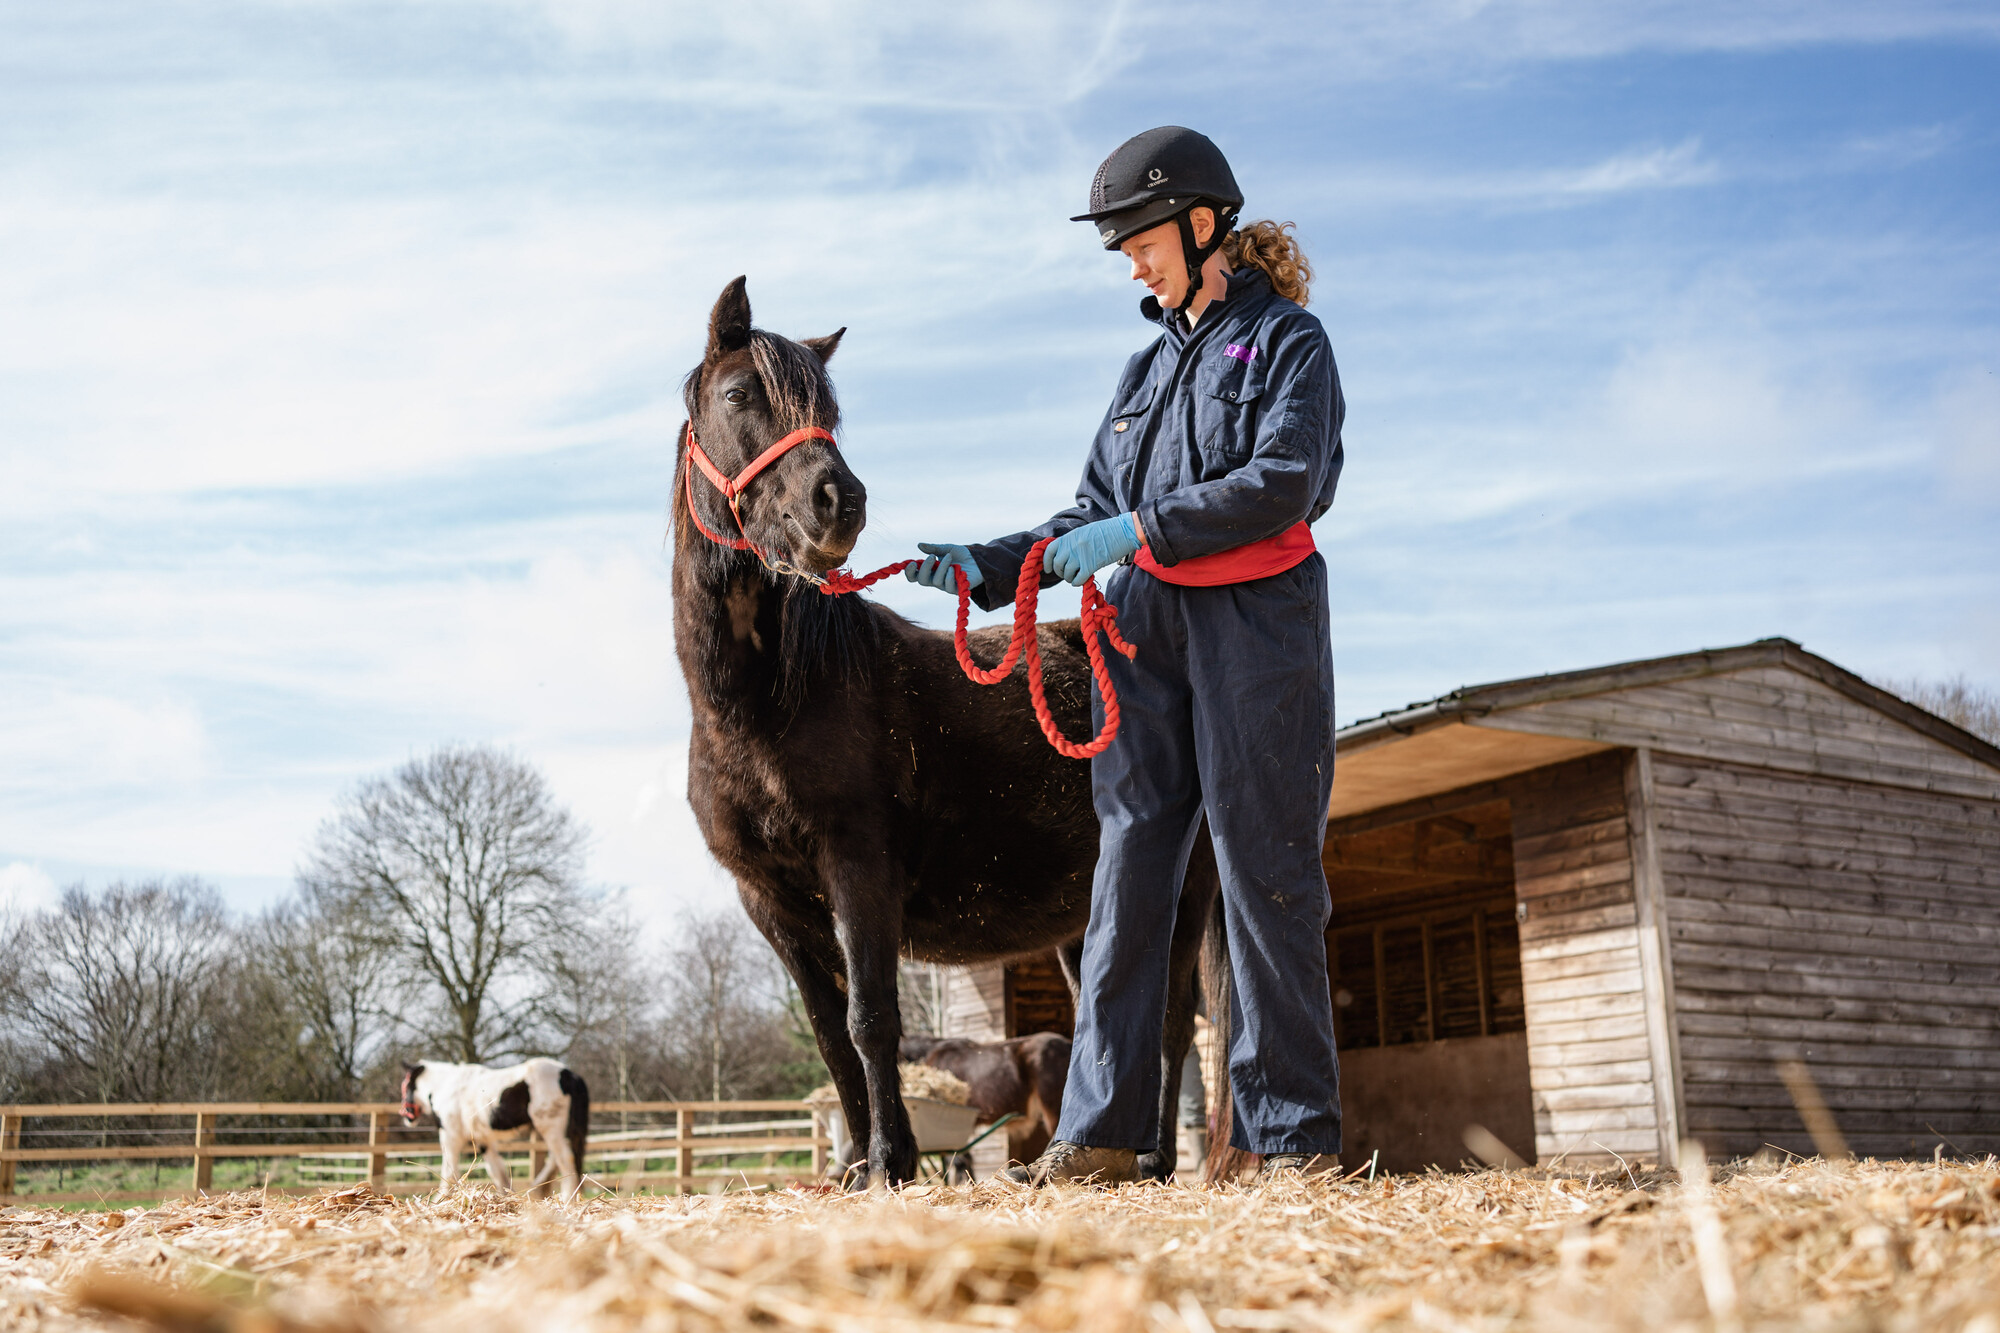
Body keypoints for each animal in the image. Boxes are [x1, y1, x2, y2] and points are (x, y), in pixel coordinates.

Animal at [400, 1058, 589, 1201]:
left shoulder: (450, 1136)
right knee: (558, 1160)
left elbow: (449, 1171)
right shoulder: (483, 1140)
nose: (406, 1114)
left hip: (552, 1130)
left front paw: (440, 1199)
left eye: (406, 1085)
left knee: (566, 1160)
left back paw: (567, 1198)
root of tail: (570, 1075)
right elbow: (497, 1172)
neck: (446, 1086)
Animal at [672, 275, 1217, 1186]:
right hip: (1084, 915)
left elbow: (872, 1022)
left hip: (1188, 887)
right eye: (739, 394)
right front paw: (857, 1162)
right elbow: (831, 1037)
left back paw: (1154, 1158)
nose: (839, 503)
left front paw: (891, 1160)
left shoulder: (859, 867)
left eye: (832, 410)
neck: (762, 707)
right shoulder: (771, 902)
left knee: (1173, 1019)